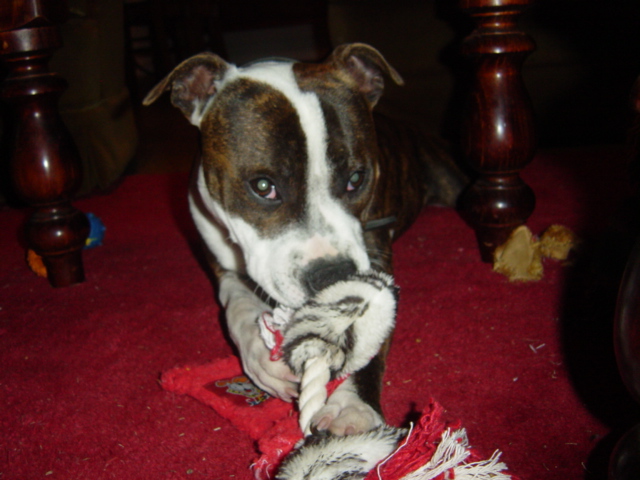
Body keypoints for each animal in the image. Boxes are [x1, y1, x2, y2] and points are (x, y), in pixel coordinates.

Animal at [143, 43, 466, 436]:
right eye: (263, 186)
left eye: (356, 178)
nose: (332, 274)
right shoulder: (220, 263)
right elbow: (238, 305)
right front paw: (259, 354)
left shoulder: (377, 265)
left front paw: (352, 407)